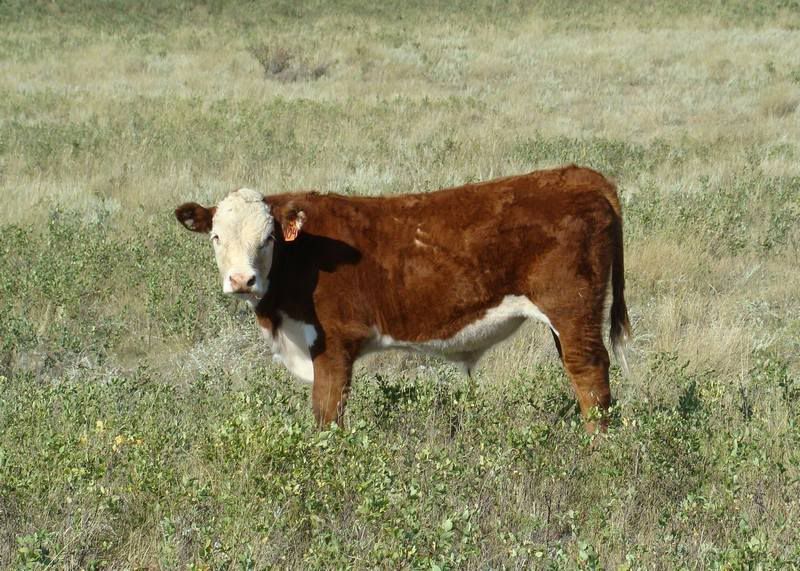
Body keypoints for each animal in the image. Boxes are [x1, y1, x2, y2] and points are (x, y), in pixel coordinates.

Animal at [175, 165, 631, 433]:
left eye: (268, 238)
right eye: (216, 237)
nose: (242, 279)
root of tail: (581, 175)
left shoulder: (334, 344)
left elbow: (327, 413)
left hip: (571, 306)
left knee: (589, 372)